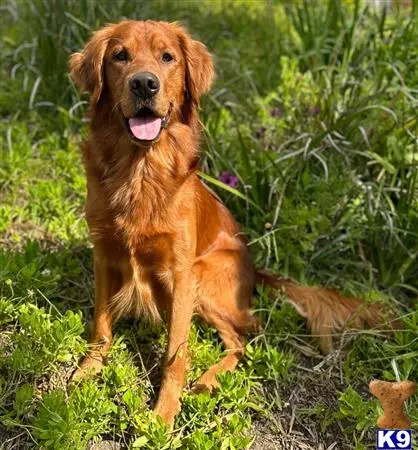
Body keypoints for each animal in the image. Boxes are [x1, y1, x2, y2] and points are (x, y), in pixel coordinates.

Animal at [69, 18, 396, 426]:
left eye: (167, 57)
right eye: (120, 56)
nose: (144, 84)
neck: (139, 171)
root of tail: (256, 270)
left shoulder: (180, 274)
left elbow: (176, 351)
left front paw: (164, 412)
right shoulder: (103, 253)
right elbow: (101, 326)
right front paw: (87, 370)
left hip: (205, 279)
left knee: (244, 338)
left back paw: (208, 381)